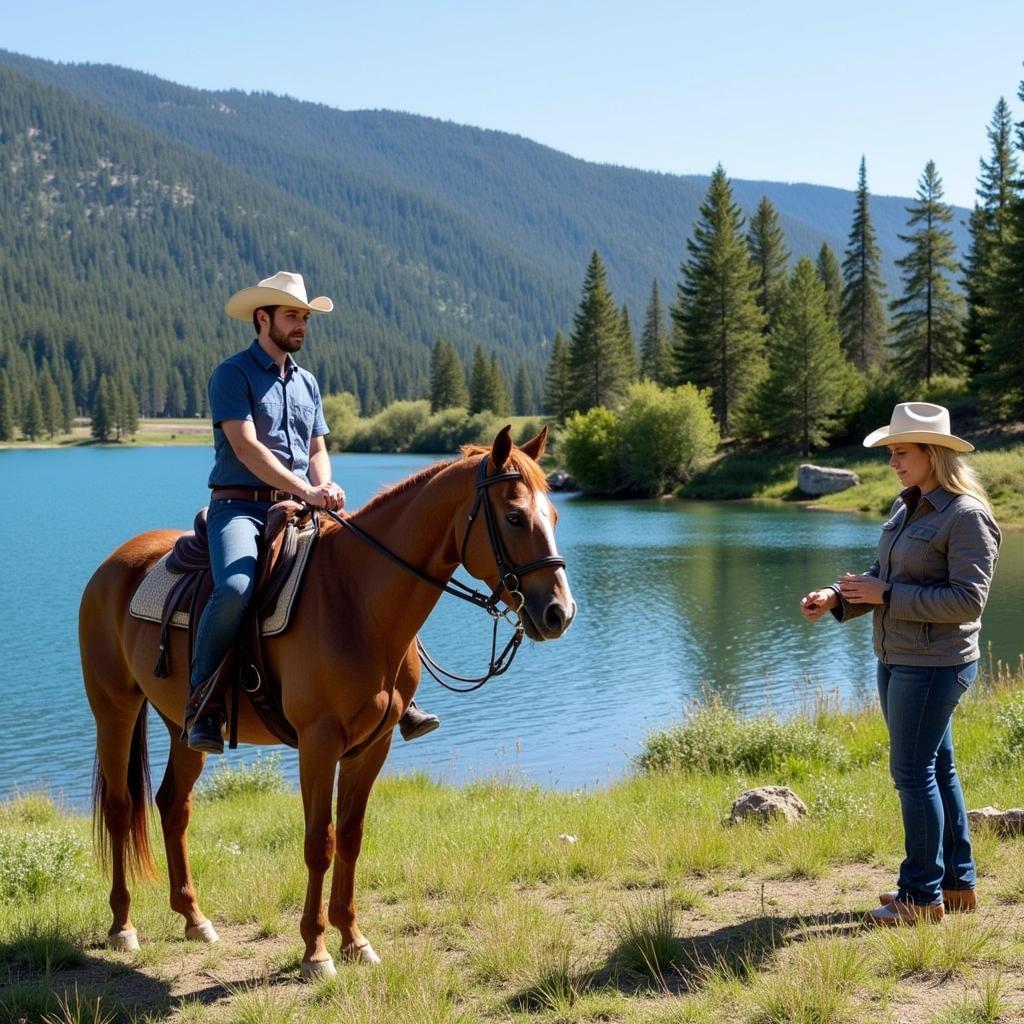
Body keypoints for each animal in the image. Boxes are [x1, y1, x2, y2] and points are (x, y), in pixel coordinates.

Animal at [77, 423, 577, 974]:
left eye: (553, 516)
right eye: (514, 517)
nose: (559, 612)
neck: (357, 600)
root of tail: (114, 564)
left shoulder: (372, 745)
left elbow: (351, 839)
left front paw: (353, 938)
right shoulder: (319, 742)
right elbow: (320, 841)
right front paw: (315, 951)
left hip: (184, 726)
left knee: (173, 805)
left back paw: (194, 918)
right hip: (114, 710)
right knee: (121, 808)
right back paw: (123, 926)